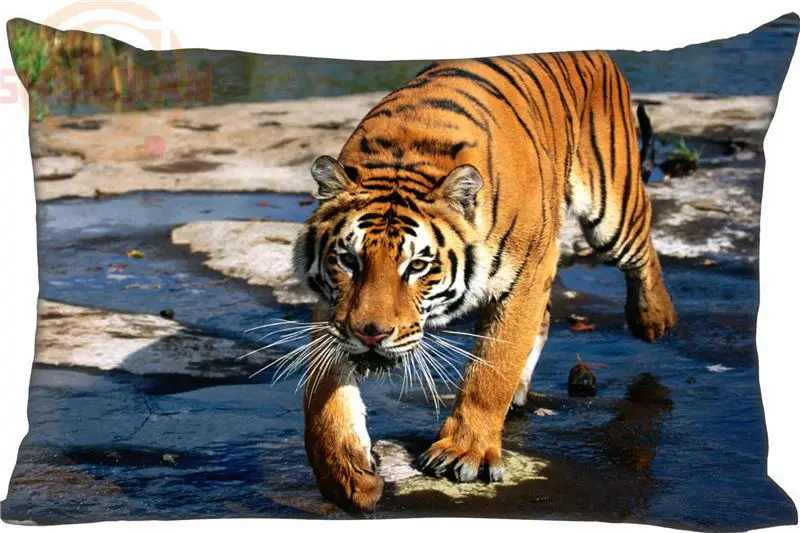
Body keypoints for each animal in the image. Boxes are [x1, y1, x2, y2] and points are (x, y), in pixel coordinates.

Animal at [292, 51, 676, 513]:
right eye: (349, 260)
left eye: (417, 266)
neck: (406, 156)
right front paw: (345, 476)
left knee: (643, 247)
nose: (371, 335)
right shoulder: (335, 309)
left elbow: (493, 367)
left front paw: (466, 452)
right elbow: (322, 395)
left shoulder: (526, 275)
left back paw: (653, 318)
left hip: (611, 209)